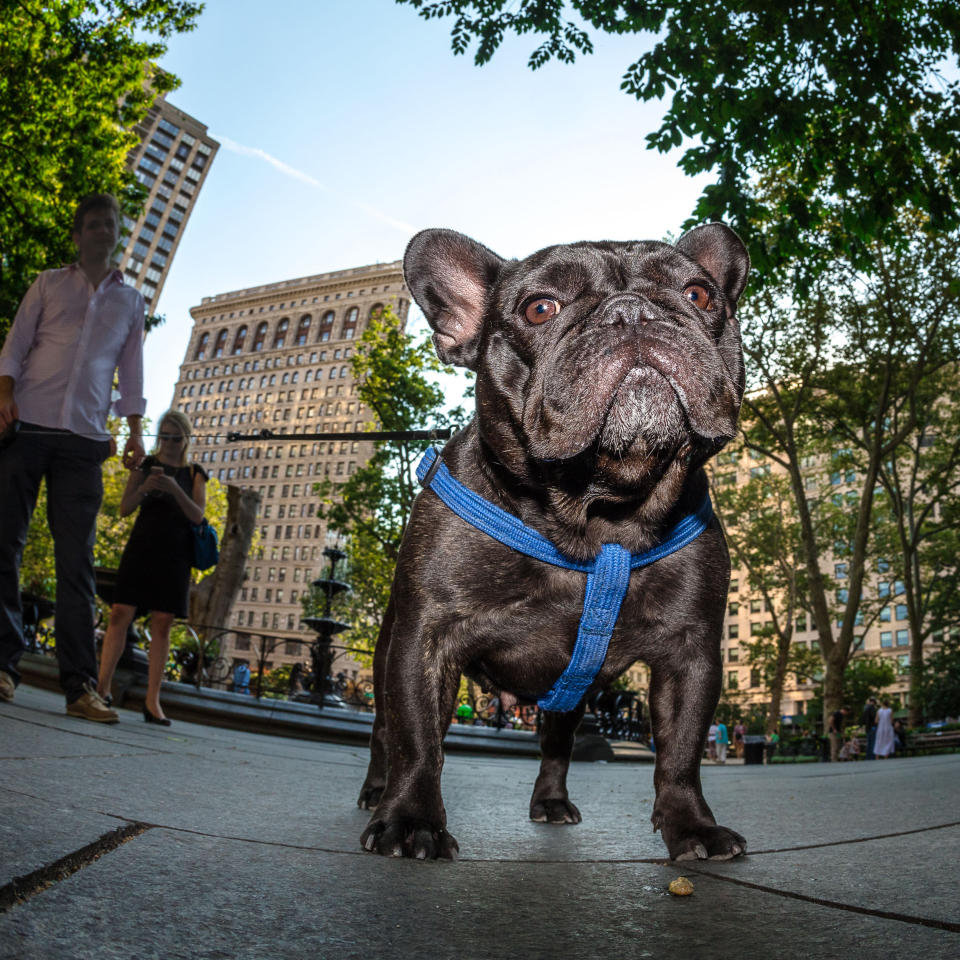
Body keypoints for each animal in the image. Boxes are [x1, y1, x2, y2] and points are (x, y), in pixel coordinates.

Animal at [358, 225, 752, 864]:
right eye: (540, 308)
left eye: (699, 295)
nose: (632, 312)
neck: (598, 519)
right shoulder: (425, 640)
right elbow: (418, 738)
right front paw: (412, 819)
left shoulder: (691, 655)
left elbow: (681, 752)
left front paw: (691, 826)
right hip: (385, 650)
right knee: (383, 730)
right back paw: (376, 791)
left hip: (571, 693)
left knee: (558, 742)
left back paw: (550, 802)